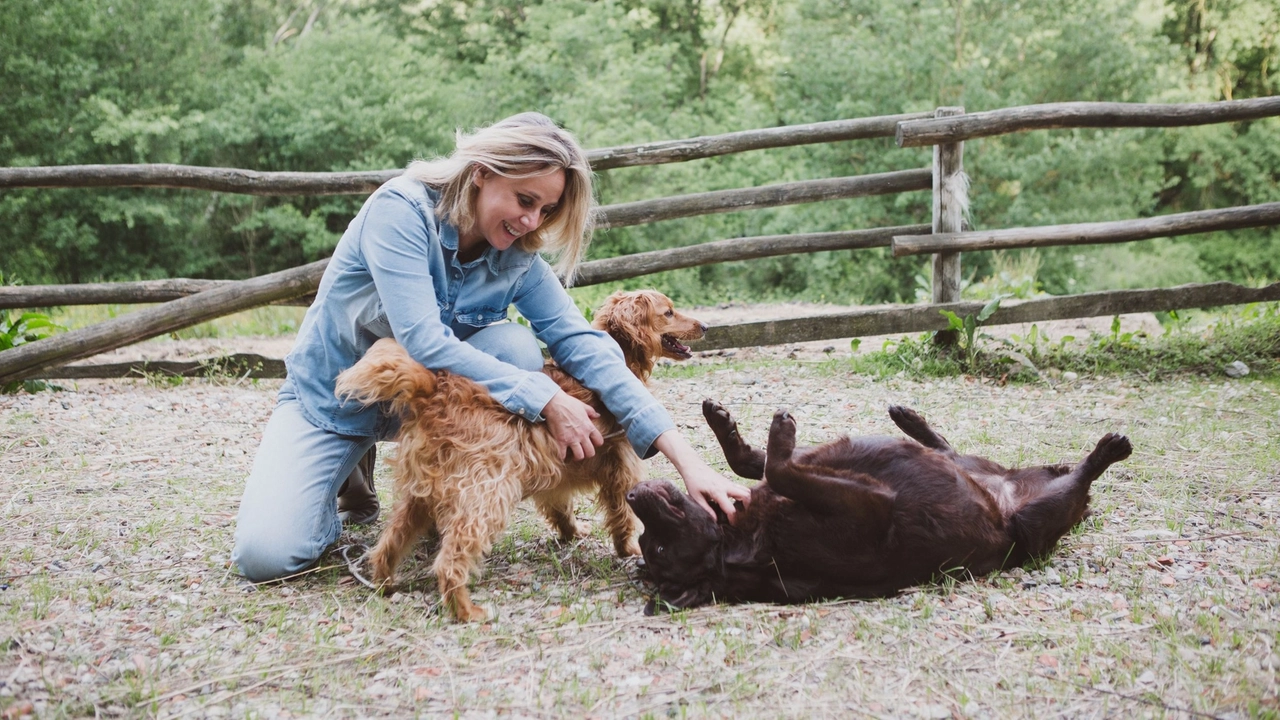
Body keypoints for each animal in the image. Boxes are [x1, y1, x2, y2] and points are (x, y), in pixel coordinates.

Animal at [335, 288, 706, 620]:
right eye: (668, 312)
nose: (704, 326)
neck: (620, 358)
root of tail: (434, 392)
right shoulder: (622, 469)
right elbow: (623, 516)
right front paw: (628, 549)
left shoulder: (556, 474)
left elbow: (561, 509)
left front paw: (573, 534)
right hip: (485, 495)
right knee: (450, 561)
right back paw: (467, 611)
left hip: (418, 495)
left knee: (389, 543)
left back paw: (385, 584)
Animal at [624, 399, 1136, 607]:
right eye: (657, 548)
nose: (632, 495)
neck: (742, 541)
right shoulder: (873, 504)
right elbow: (780, 467)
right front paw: (778, 433)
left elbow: (754, 463)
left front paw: (724, 423)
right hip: (1034, 523)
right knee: (1080, 480)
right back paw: (1108, 451)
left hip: (965, 463)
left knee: (946, 448)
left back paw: (909, 419)